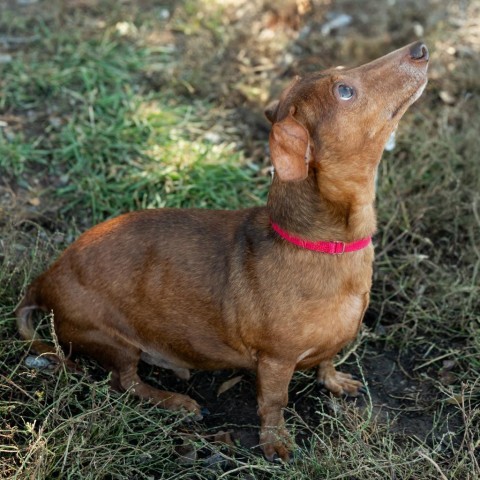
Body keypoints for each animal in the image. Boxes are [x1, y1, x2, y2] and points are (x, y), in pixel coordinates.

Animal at [15, 41, 428, 462]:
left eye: (343, 70)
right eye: (345, 90)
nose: (420, 48)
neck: (318, 242)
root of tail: (46, 279)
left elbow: (327, 360)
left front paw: (334, 381)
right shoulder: (275, 361)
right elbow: (274, 403)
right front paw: (276, 442)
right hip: (113, 342)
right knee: (125, 383)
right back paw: (175, 401)